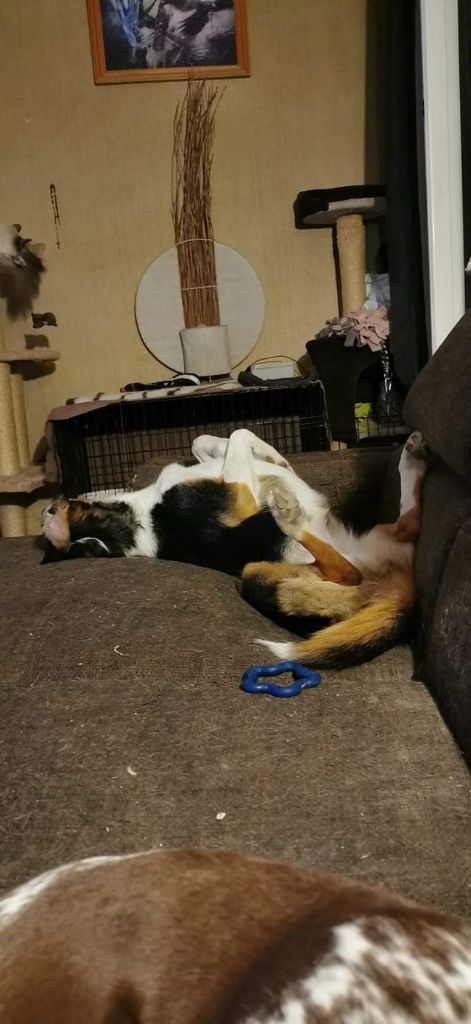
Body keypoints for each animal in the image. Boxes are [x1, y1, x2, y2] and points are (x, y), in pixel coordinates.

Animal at [41, 428, 427, 669]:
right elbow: (239, 436)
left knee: (408, 522)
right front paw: (274, 458)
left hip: (379, 537)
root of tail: (395, 590)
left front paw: (275, 457)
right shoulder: (240, 495)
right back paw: (290, 517)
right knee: (348, 571)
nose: (51, 503)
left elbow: (207, 439)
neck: (139, 519)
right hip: (257, 573)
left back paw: (411, 456)